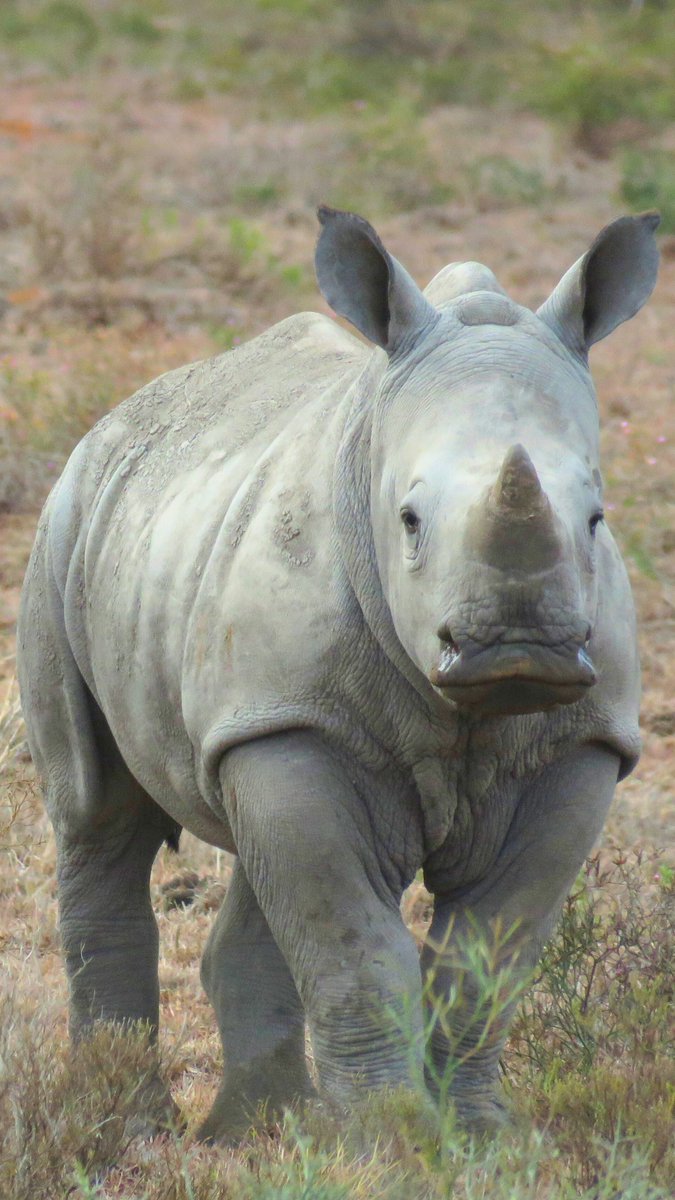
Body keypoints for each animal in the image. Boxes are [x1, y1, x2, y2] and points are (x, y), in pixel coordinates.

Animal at [18, 206, 659, 1141]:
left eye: (597, 518)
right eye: (409, 520)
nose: (516, 648)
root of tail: (119, 415)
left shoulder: (580, 743)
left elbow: (482, 961)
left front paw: (479, 1139)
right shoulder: (291, 716)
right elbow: (355, 951)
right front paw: (393, 1139)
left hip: (232, 643)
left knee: (254, 839)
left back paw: (259, 1127)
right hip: (68, 521)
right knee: (97, 813)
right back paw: (131, 1122)